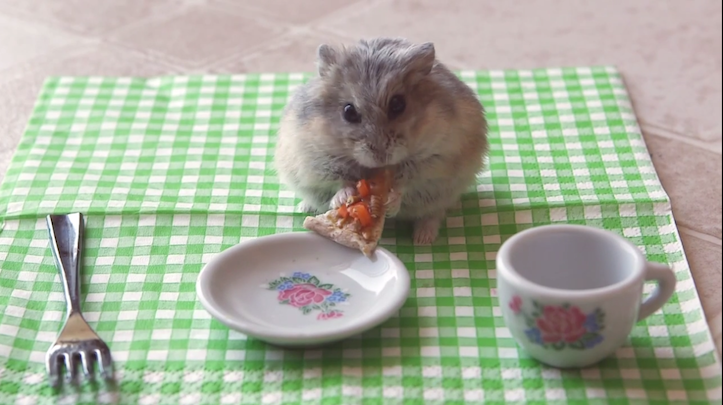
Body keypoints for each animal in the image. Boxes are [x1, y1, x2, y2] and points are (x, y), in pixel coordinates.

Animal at [273, 37, 489, 245]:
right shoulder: (316, 158)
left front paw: (389, 202)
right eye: (349, 111)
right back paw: (304, 207)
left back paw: (422, 240)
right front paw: (343, 199)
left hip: (444, 195)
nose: (380, 157)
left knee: (432, 215)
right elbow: (339, 181)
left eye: (398, 104)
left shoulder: (437, 159)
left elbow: (406, 183)